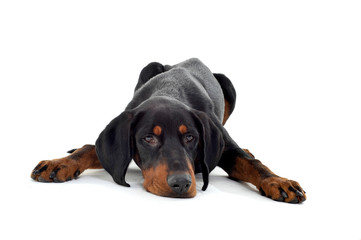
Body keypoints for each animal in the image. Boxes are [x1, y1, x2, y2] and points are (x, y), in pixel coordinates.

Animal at [31, 58, 306, 202]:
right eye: (148, 138)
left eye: (191, 137)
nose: (181, 184)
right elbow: (90, 148)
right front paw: (60, 163)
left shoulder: (223, 145)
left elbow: (252, 164)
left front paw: (278, 181)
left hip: (228, 84)